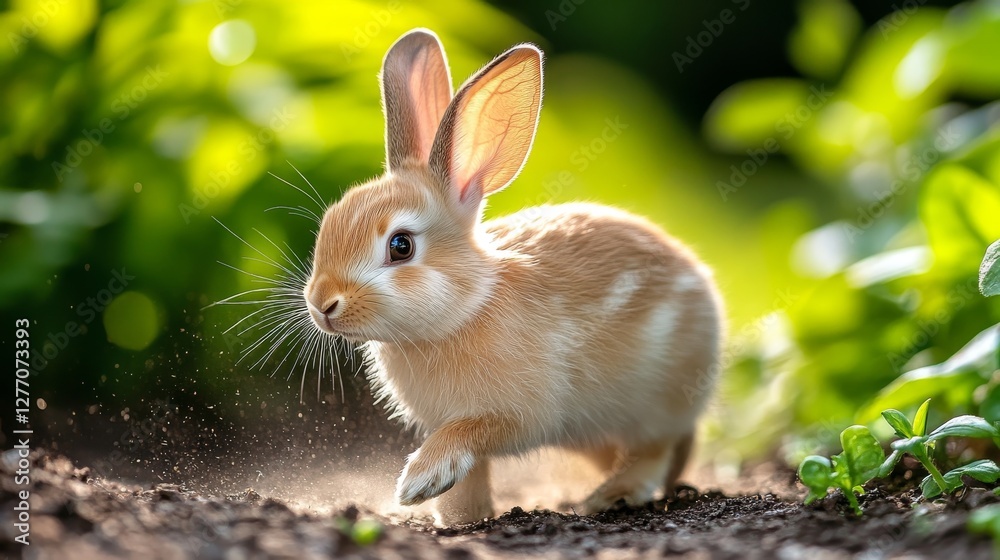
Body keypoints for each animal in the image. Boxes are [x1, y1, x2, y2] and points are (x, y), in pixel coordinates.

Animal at [303, 28, 724, 525]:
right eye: (329, 221)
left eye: (400, 246)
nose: (322, 304)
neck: (465, 310)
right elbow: (470, 474)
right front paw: (457, 516)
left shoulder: (515, 414)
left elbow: (470, 433)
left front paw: (419, 481)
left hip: (654, 403)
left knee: (652, 450)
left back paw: (610, 496)